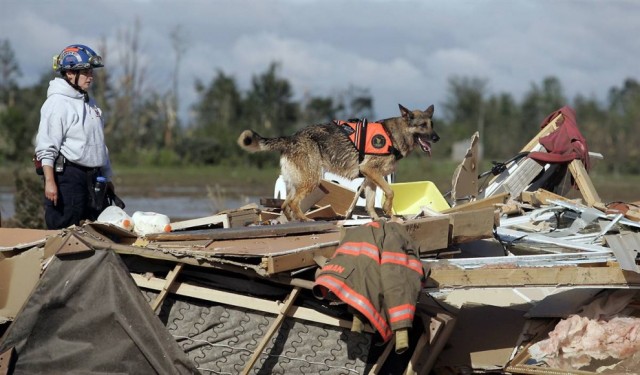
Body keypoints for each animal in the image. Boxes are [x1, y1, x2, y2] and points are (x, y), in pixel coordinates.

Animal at [238, 104, 438, 222]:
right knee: (293, 203)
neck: (394, 135)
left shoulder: (370, 178)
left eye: (432, 124)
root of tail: (291, 138)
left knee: (285, 204)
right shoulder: (371, 172)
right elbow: (390, 192)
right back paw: (305, 219)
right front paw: (390, 213)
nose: (437, 138)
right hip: (311, 180)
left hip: (297, 182)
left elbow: (370, 203)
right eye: (422, 125)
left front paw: (377, 218)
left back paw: (294, 220)